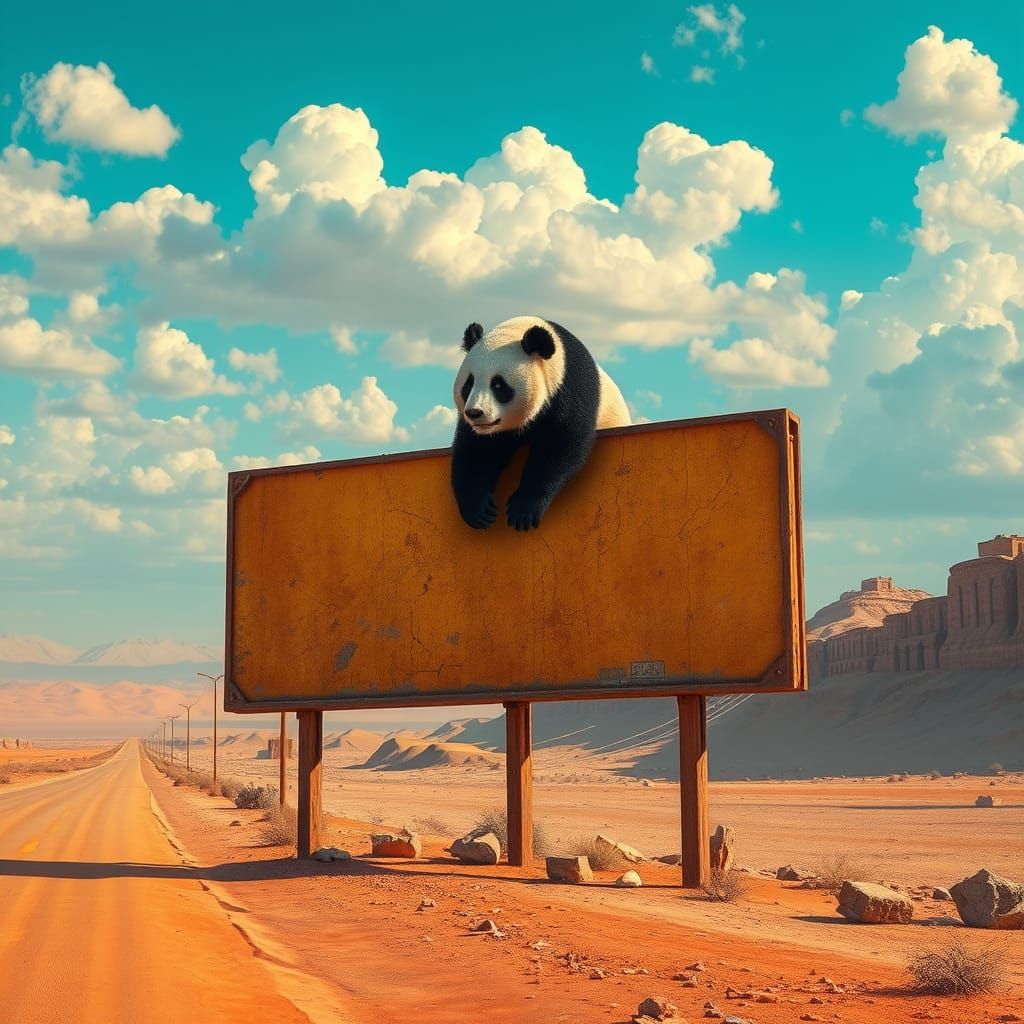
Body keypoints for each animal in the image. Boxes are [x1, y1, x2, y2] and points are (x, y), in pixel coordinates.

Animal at [451, 315, 631, 532]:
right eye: (468, 384)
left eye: (498, 385)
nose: (475, 413)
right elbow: (478, 452)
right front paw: (479, 510)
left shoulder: (569, 386)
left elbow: (560, 444)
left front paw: (523, 509)